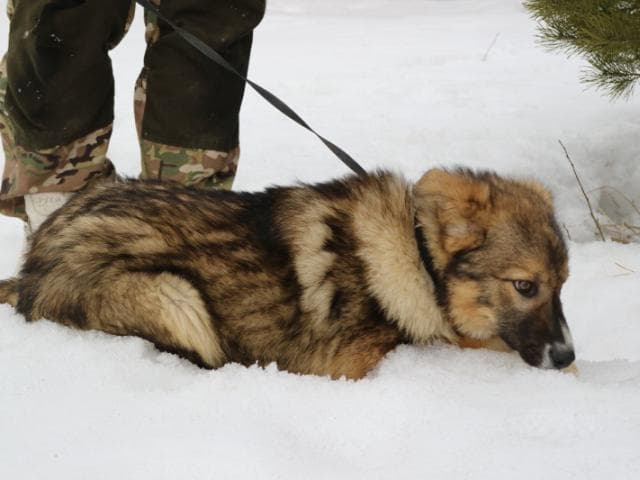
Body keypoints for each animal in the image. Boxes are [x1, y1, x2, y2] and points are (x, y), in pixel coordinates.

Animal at [0, 170, 576, 378]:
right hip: (175, 296)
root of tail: (30, 265)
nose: (567, 354)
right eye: (525, 286)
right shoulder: (354, 365)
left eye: (563, 285)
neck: (416, 260)